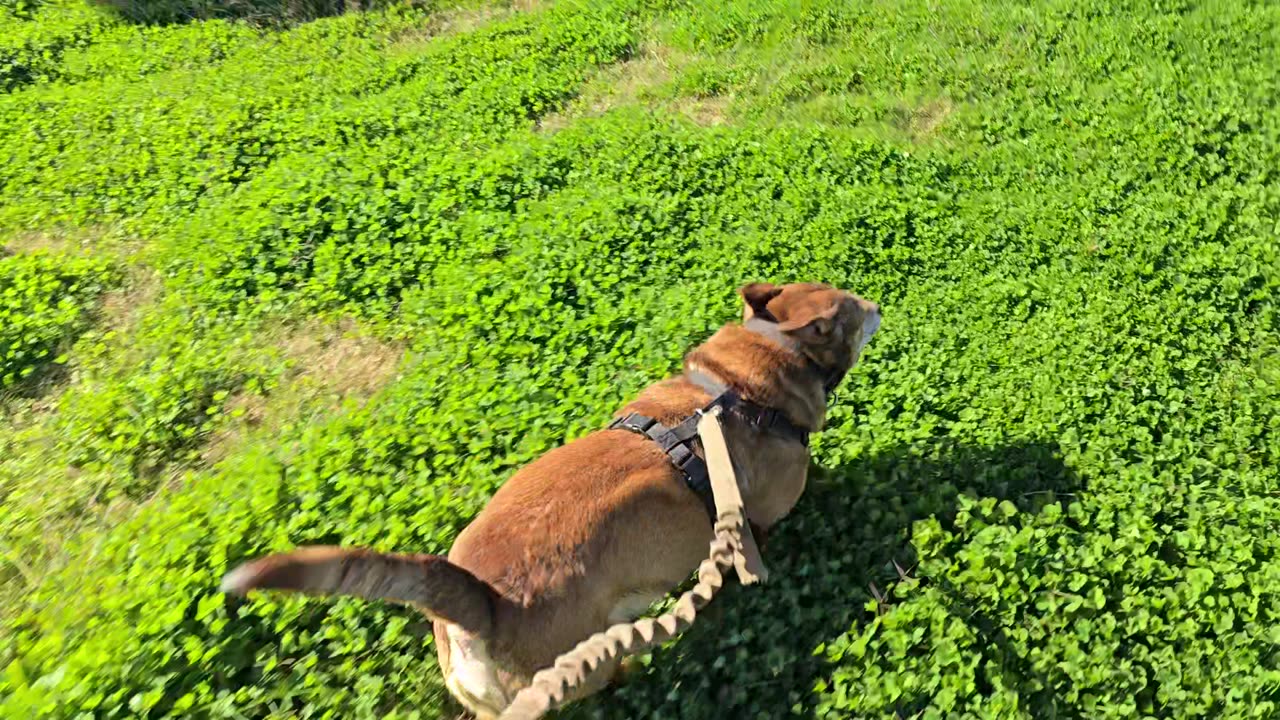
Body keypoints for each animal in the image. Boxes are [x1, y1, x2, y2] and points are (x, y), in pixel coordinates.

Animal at [220, 279, 880, 712]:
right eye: (849, 310)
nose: (878, 304)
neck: (741, 385)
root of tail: (480, 605)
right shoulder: (759, 515)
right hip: (579, 663)